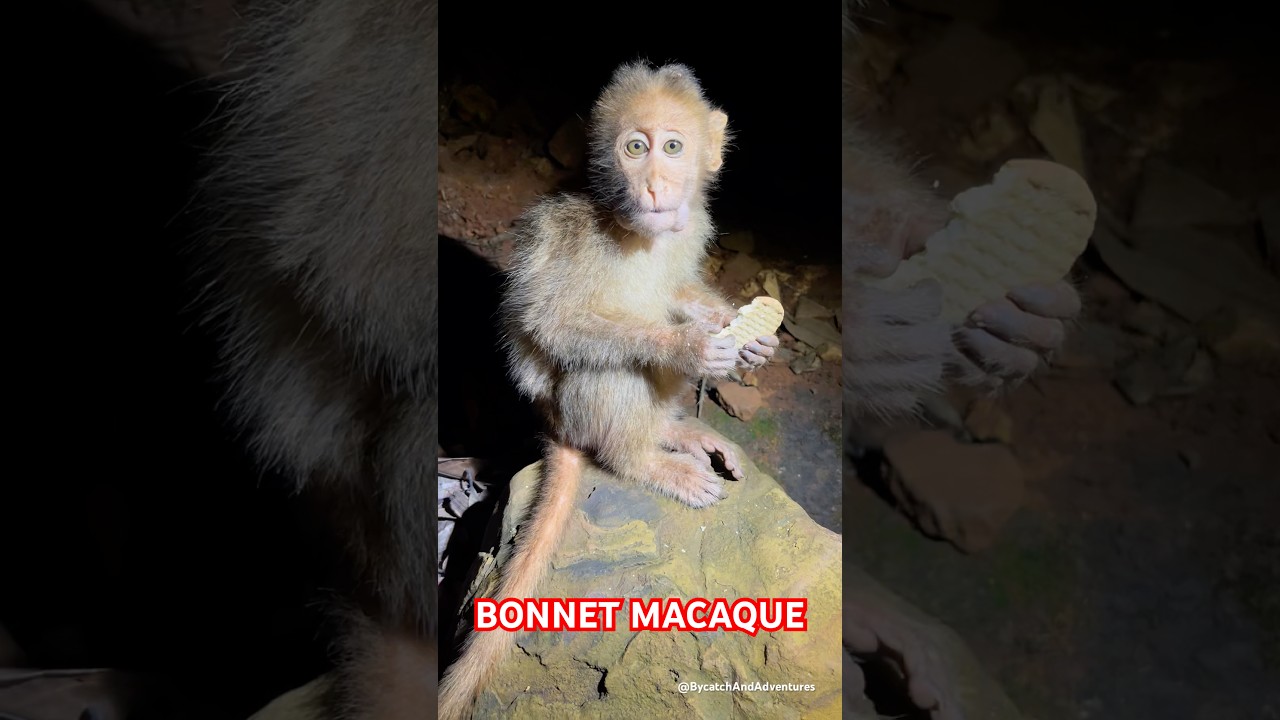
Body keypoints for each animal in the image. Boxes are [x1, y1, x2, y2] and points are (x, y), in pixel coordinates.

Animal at [436, 61, 780, 720]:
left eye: (672, 148)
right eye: (635, 148)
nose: (654, 187)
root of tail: (554, 429)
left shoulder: (690, 226)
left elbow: (679, 287)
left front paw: (742, 337)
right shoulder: (578, 237)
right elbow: (552, 323)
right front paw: (689, 345)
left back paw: (673, 431)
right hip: (573, 413)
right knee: (607, 367)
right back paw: (642, 458)